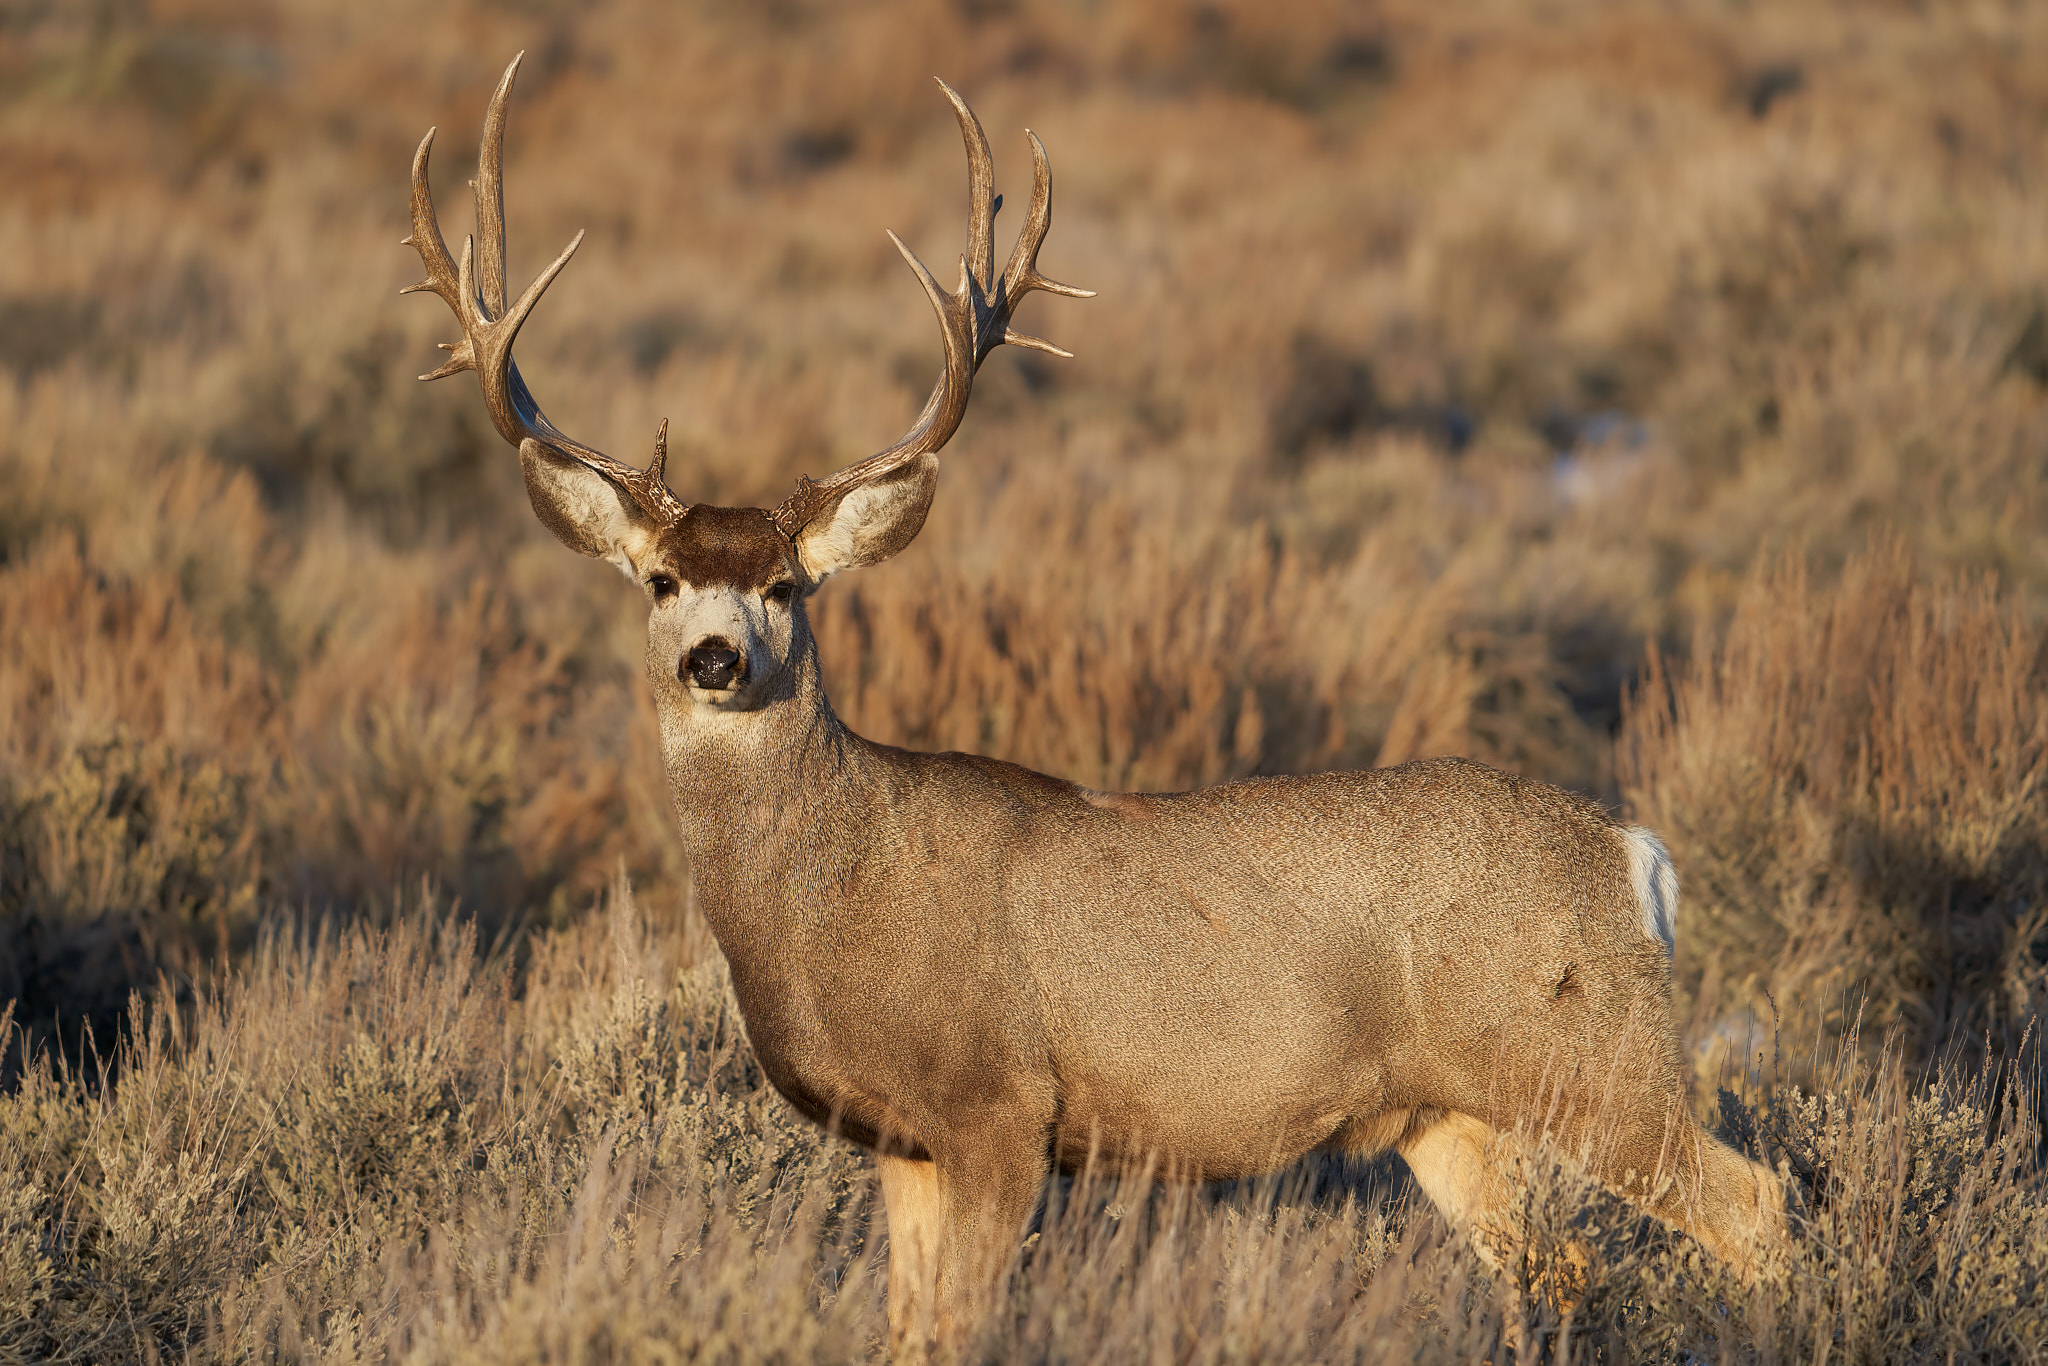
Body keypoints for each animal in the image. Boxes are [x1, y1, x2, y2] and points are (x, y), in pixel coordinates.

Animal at [401, 55, 1787, 1357]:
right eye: (661, 578)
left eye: (786, 585)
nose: (713, 659)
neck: (828, 899)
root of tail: (1632, 856)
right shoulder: (904, 1143)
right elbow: (905, 1333)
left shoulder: (998, 1107)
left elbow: (964, 1325)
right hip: (1447, 1114)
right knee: (1561, 1264)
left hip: (1589, 1055)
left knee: (1753, 1202)